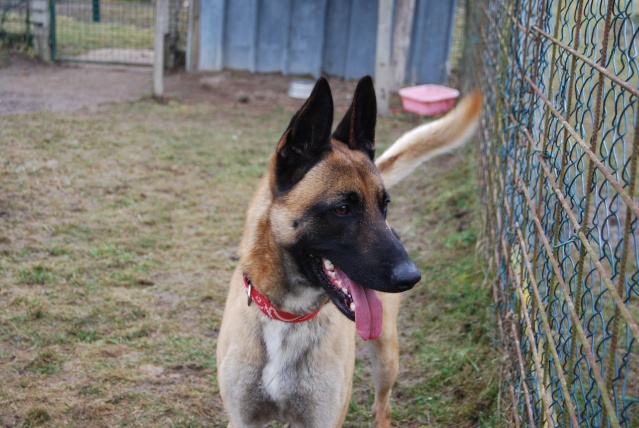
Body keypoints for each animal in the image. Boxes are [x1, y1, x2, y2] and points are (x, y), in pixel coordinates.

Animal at [218, 75, 482, 426]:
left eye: (385, 205)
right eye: (342, 209)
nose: (411, 277)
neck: (288, 316)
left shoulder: (324, 418)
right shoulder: (244, 418)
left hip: (386, 353)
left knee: (382, 407)